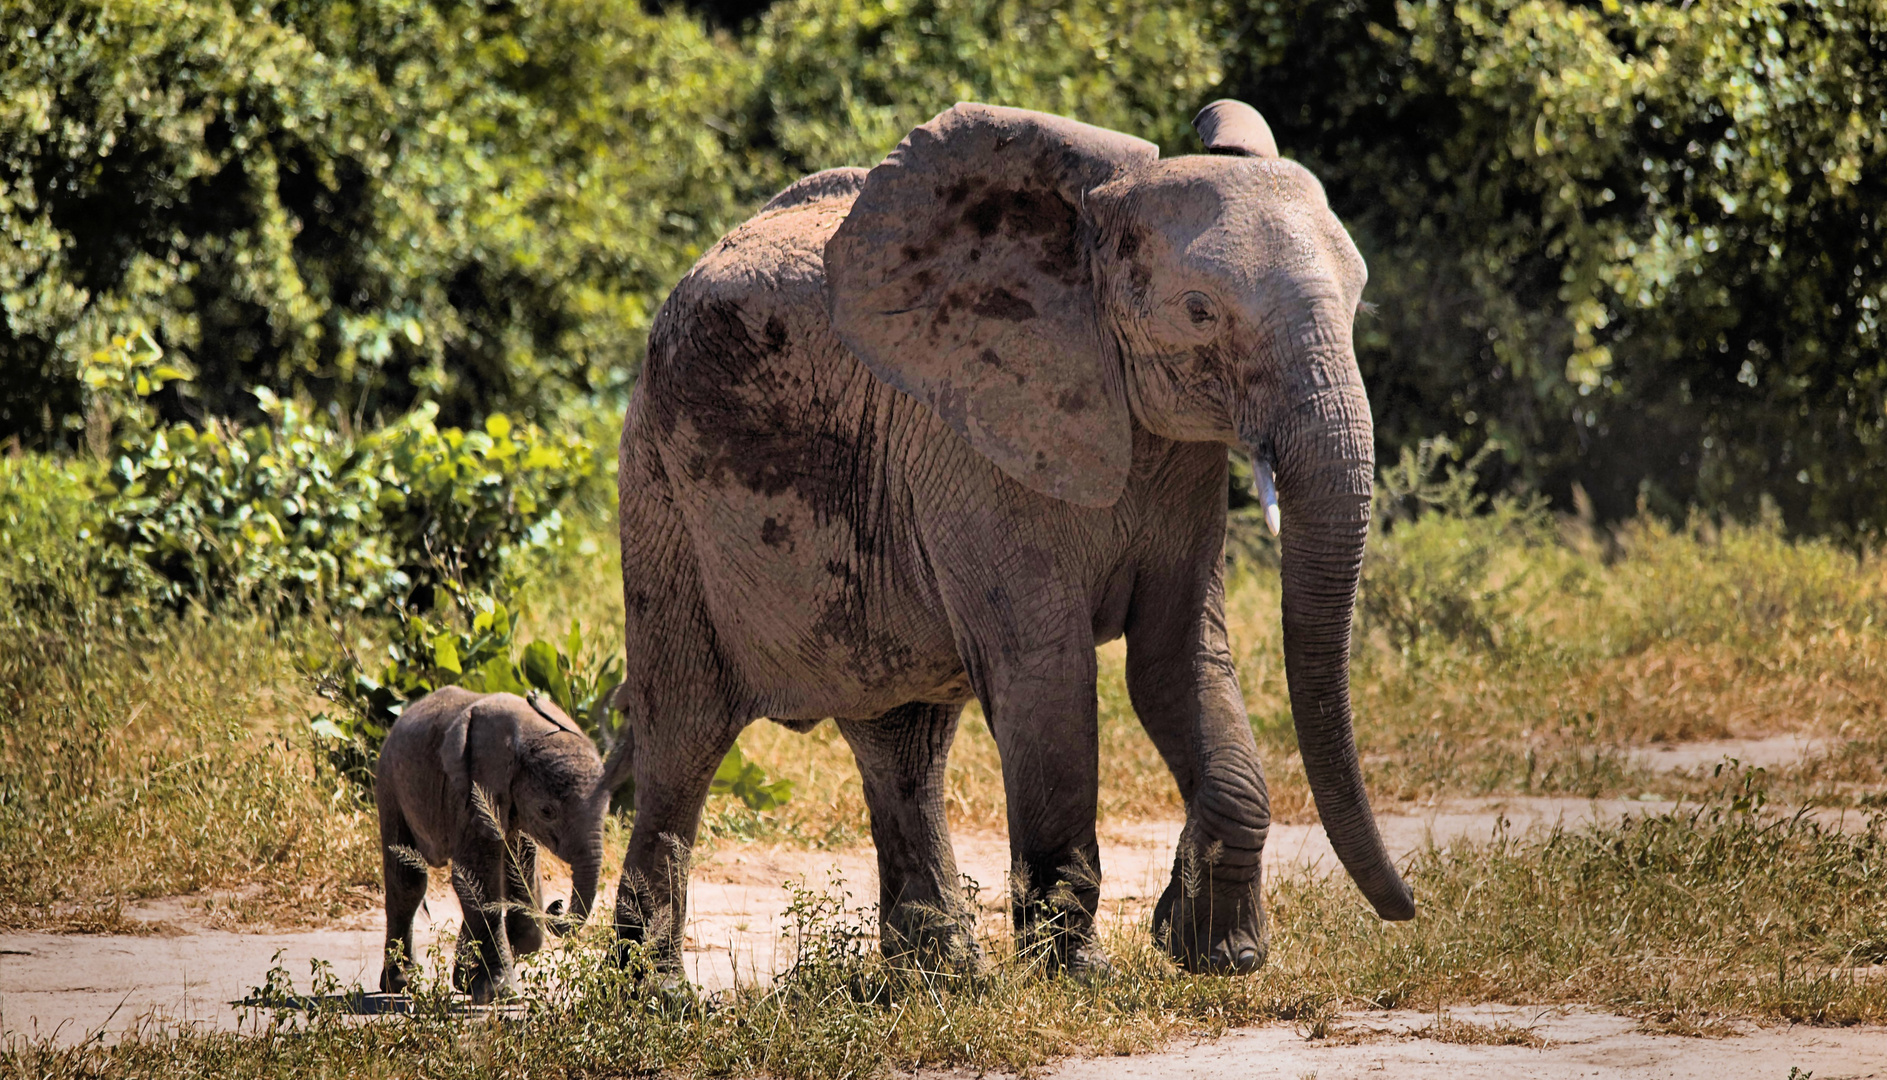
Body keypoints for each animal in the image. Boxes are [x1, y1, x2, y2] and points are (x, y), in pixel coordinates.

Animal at [367, 687, 603, 996]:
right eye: (547, 811)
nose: (558, 905)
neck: (529, 732)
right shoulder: (472, 791)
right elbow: (477, 877)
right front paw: (500, 991)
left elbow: (517, 872)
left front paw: (470, 978)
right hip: (389, 783)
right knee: (407, 881)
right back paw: (400, 983)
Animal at [603, 101, 1419, 981]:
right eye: (1199, 310)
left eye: (1360, 305)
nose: (1405, 908)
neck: (1084, 238)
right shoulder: (972, 443)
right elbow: (1047, 672)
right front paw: (1080, 974)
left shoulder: (1179, 460)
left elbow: (1176, 662)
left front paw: (1212, 949)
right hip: (659, 490)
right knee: (683, 730)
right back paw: (654, 994)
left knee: (903, 739)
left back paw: (940, 979)